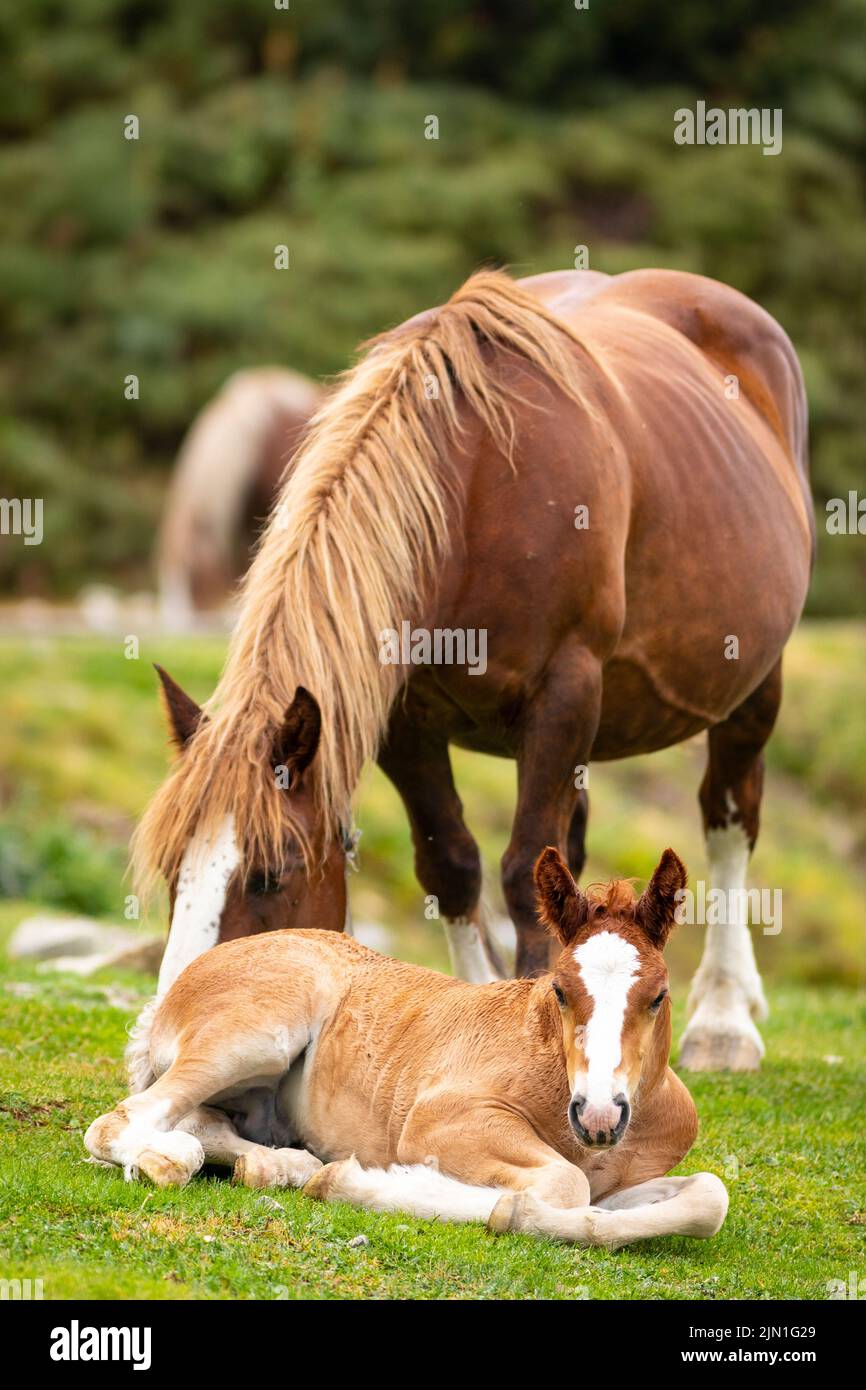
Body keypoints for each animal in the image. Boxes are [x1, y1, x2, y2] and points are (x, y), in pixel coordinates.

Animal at [85, 846, 729, 1249]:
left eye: (659, 996)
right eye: (560, 989)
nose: (598, 1116)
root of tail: (169, 995)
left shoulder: (623, 1184)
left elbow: (708, 1197)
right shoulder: (440, 1120)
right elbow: (562, 1187)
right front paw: (368, 1183)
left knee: (201, 1121)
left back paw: (275, 1165)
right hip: (257, 1035)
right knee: (118, 1122)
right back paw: (169, 1160)